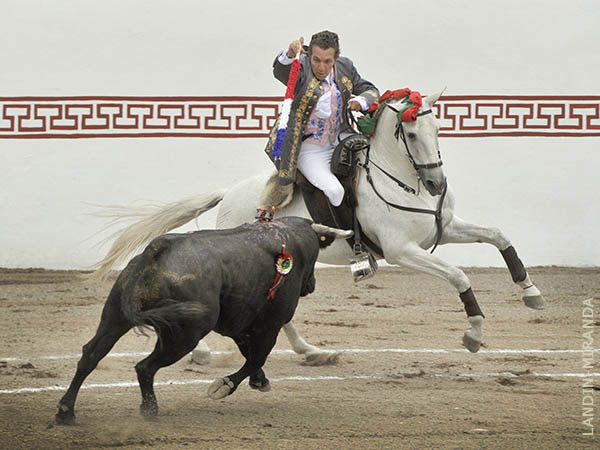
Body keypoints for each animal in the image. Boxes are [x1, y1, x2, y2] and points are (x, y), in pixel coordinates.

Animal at [56, 216, 350, 424]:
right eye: (317, 254)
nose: (311, 285)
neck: (288, 240)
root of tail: (156, 250)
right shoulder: (269, 324)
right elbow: (256, 357)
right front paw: (225, 386)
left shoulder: (239, 324)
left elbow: (251, 355)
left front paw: (259, 381)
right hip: (185, 334)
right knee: (144, 367)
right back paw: (149, 409)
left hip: (115, 316)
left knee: (90, 355)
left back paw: (65, 411)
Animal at [94, 89, 544, 364]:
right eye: (412, 133)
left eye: (438, 129)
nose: (436, 182)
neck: (402, 179)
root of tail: (231, 194)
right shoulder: (402, 251)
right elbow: (458, 275)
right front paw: (474, 334)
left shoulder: (443, 228)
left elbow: (500, 236)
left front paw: (531, 293)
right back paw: (203, 351)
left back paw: (309, 351)